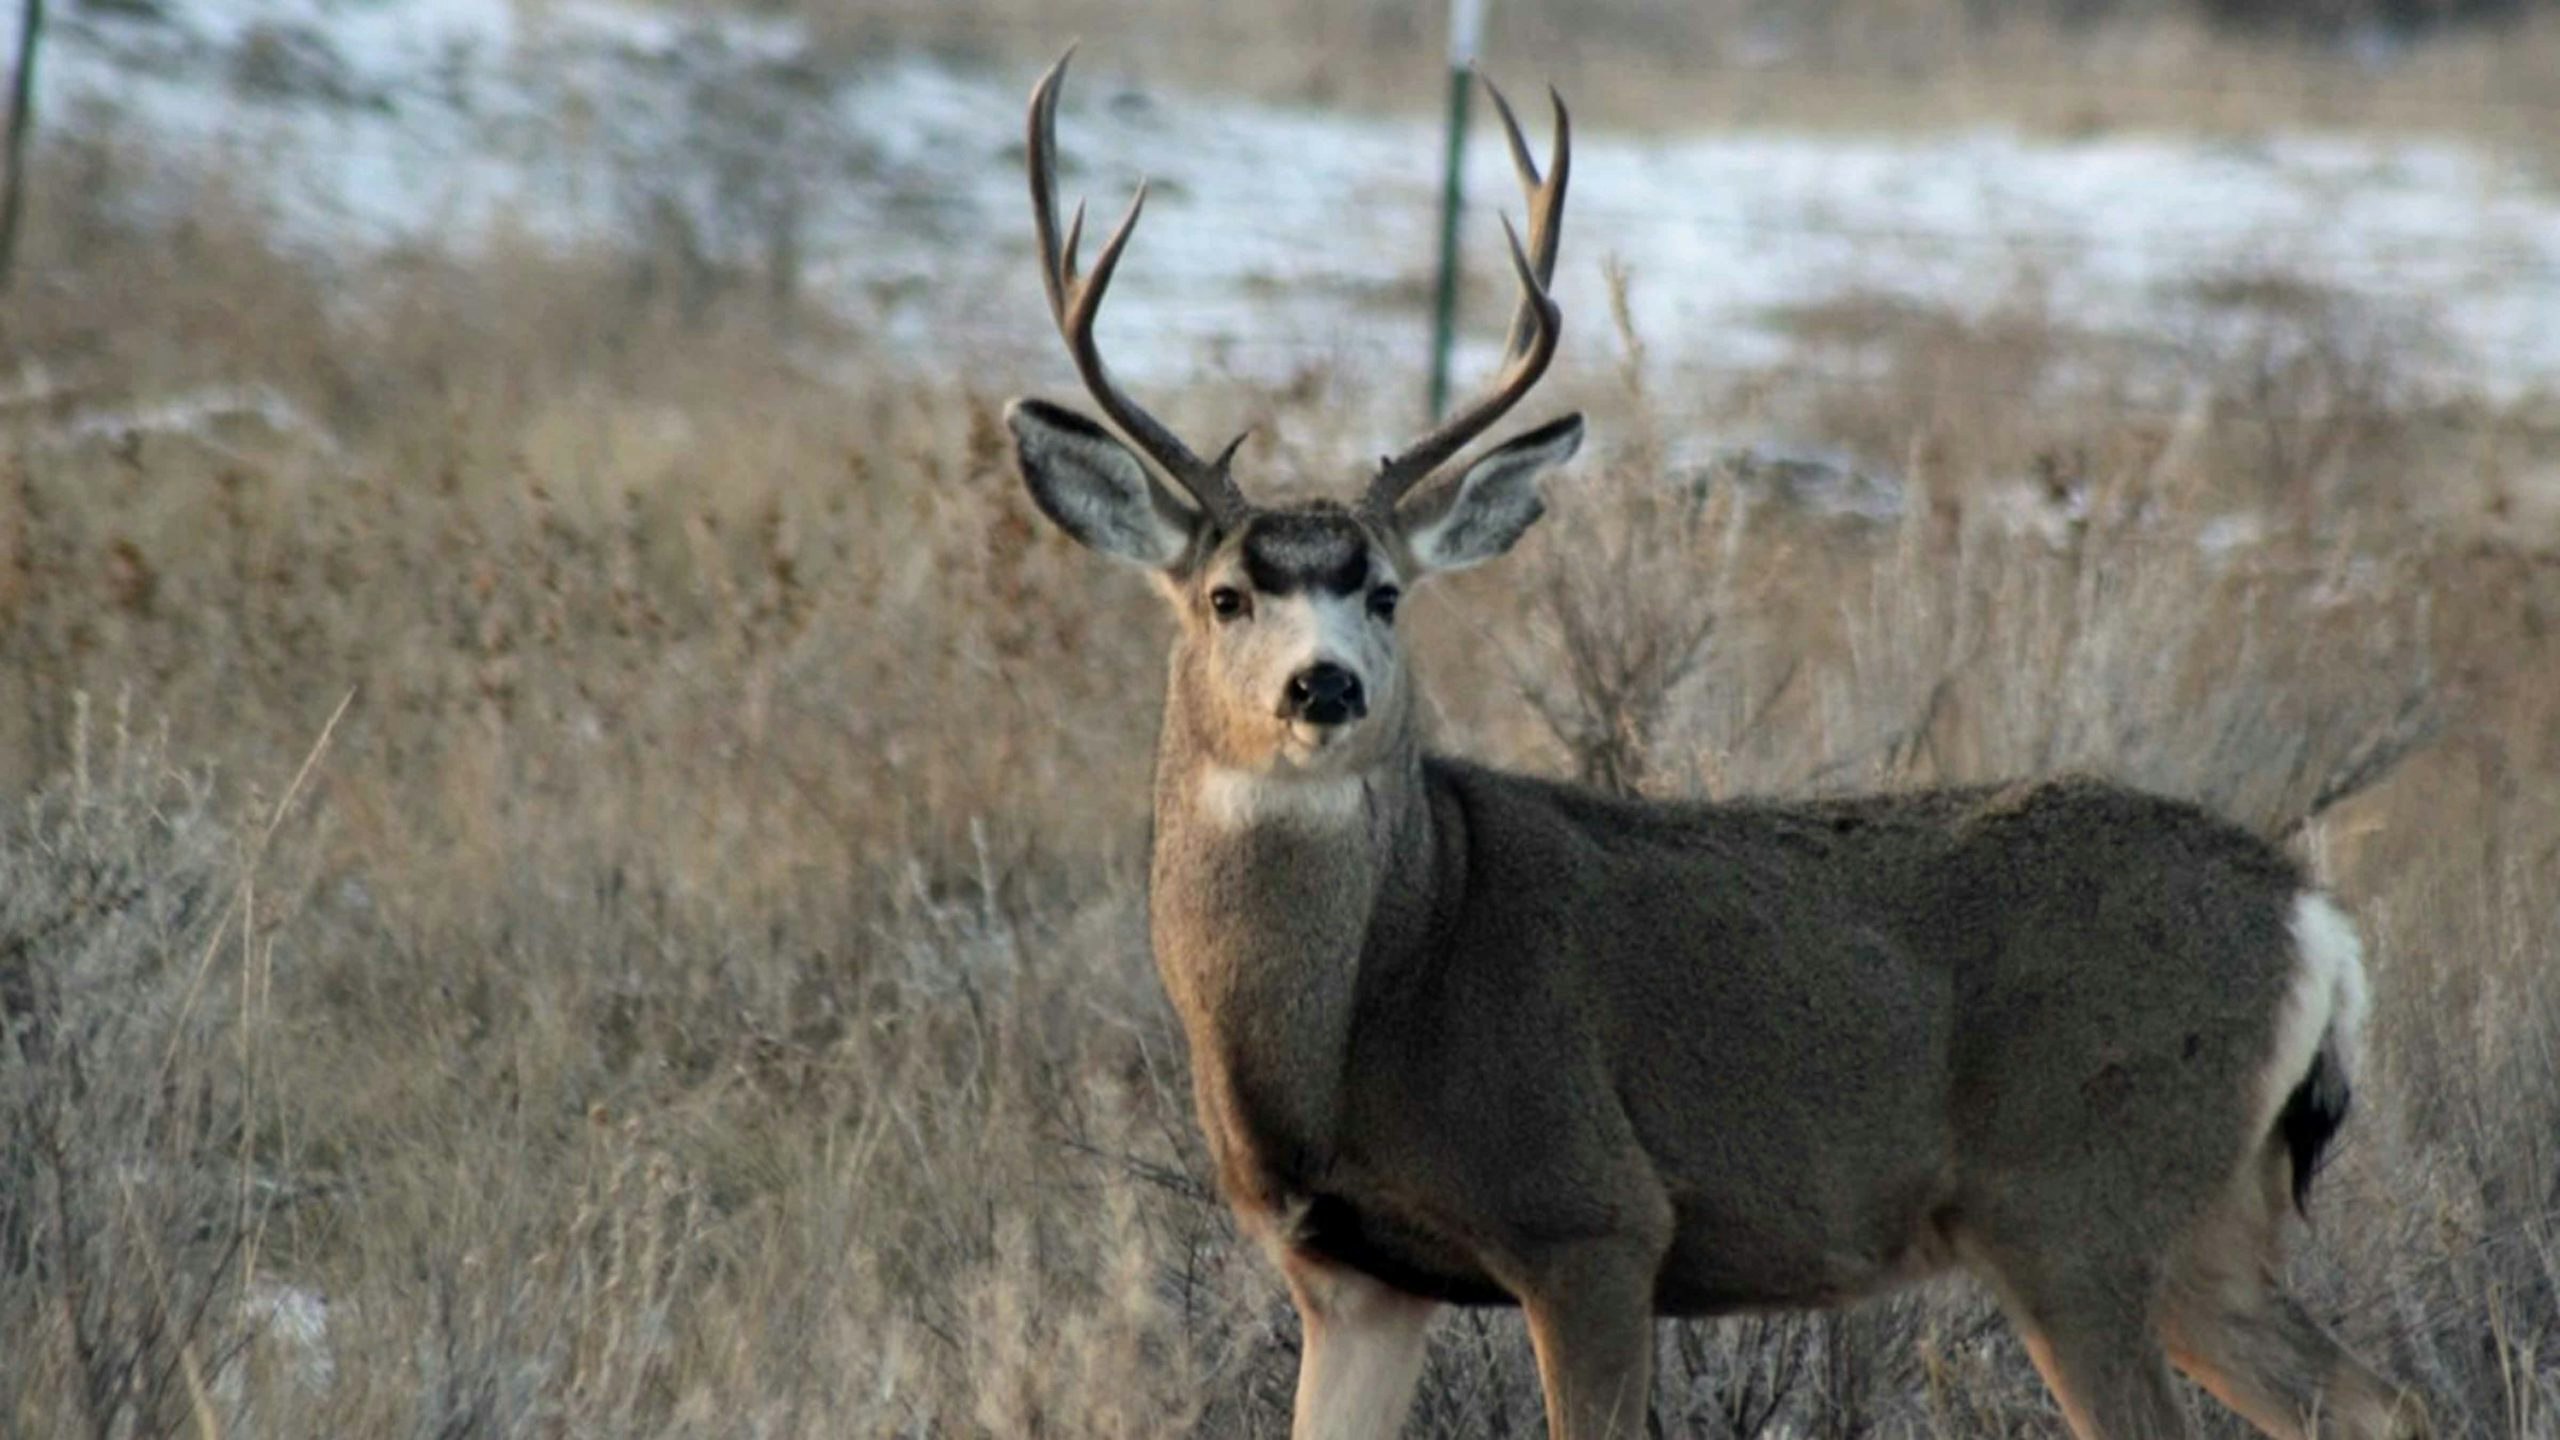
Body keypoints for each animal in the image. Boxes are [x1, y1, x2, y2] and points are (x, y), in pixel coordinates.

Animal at [1001, 52, 2432, 1440]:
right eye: (1226, 597)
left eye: (1389, 594)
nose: (1324, 687)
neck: (1367, 1003)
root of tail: (2312, 917)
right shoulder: (1349, 1277)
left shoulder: (1591, 1217)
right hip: (2204, 1225)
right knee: (2381, 1402)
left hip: (2077, 1201)